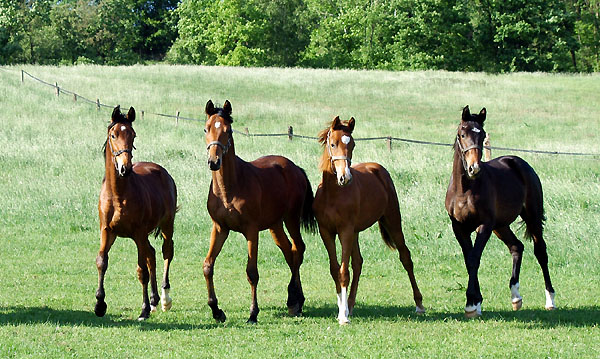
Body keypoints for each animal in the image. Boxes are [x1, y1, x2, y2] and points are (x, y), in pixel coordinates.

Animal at [94, 105, 178, 322]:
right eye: (113, 135)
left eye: (133, 135)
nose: (125, 167)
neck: (118, 195)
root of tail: (162, 171)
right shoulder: (107, 231)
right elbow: (101, 262)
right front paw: (99, 305)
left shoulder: (138, 234)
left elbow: (142, 271)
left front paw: (144, 310)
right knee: (152, 254)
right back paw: (155, 300)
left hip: (166, 225)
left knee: (166, 251)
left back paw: (164, 299)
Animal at [202, 100, 316, 324]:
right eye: (206, 129)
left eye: (228, 131)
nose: (214, 161)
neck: (230, 188)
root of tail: (295, 167)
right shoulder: (220, 228)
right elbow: (208, 265)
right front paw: (216, 310)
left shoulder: (251, 230)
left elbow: (251, 272)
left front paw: (253, 313)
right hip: (275, 225)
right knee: (289, 252)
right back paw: (294, 300)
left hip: (291, 219)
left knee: (298, 249)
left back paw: (295, 301)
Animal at [312, 116, 424, 324]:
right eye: (333, 144)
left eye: (352, 144)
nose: (345, 177)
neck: (332, 194)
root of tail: (379, 169)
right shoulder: (327, 232)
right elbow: (335, 269)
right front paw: (342, 310)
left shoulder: (345, 231)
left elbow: (343, 272)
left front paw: (343, 317)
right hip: (356, 232)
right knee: (358, 263)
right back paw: (350, 306)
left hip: (392, 221)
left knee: (406, 257)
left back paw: (419, 304)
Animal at [442, 105, 556, 318]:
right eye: (462, 134)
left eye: (482, 134)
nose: (474, 168)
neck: (465, 190)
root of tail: (519, 162)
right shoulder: (459, 228)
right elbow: (469, 259)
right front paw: (476, 301)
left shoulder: (484, 226)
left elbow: (474, 259)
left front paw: (471, 304)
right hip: (501, 226)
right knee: (516, 247)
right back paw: (515, 297)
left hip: (532, 216)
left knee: (540, 251)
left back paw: (550, 299)